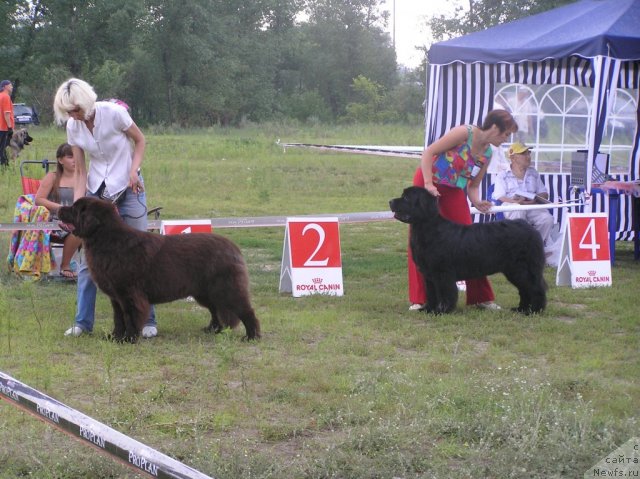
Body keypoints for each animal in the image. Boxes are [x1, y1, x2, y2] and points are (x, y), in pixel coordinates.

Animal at [57, 197, 262, 344]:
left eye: (74, 209)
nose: (58, 208)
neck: (106, 239)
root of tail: (233, 247)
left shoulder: (129, 294)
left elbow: (129, 317)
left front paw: (128, 339)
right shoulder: (116, 297)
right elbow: (118, 318)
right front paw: (114, 337)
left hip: (226, 289)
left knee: (245, 310)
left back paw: (251, 337)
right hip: (205, 292)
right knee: (215, 311)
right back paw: (213, 330)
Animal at [388, 187, 548, 316]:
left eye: (406, 198)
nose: (390, 201)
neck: (426, 229)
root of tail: (532, 230)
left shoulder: (442, 273)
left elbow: (445, 293)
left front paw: (442, 311)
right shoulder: (429, 274)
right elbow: (431, 294)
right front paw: (428, 310)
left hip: (522, 268)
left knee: (535, 288)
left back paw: (534, 311)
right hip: (513, 271)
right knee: (524, 289)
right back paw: (521, 309)